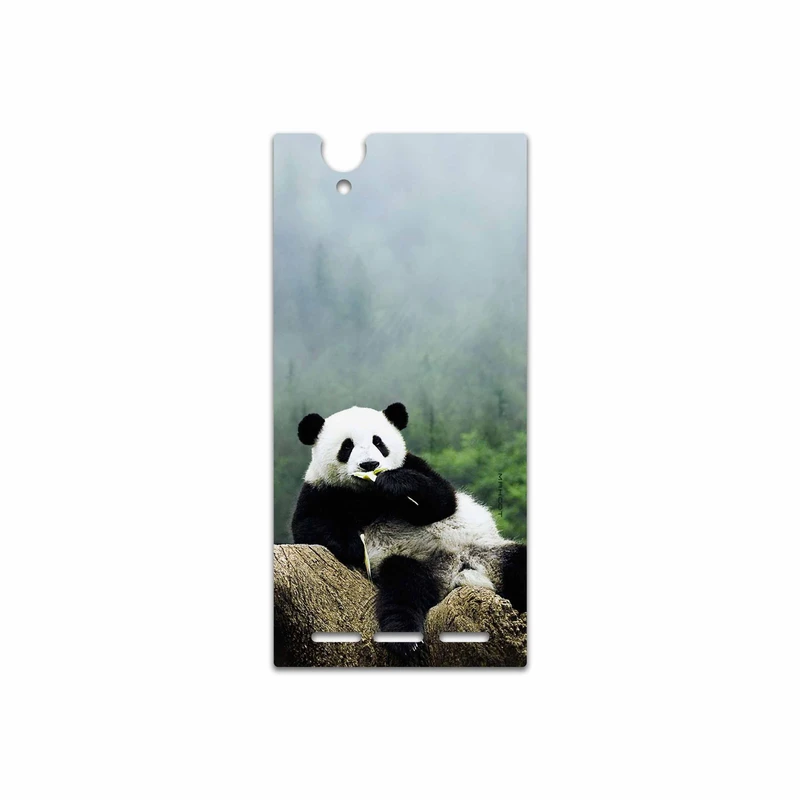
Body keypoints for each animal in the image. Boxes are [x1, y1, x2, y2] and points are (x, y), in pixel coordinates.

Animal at [291, 402, 526, 655]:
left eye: (378, 442)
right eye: (347, 446)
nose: (369, 465)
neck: (368, 494)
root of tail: (457, 571)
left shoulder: (413, 464)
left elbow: (442, 500)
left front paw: (395, 483)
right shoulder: (320, 490)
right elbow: (308, 525)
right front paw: (353, 545)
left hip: (489, 551)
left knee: (518, 563)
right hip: (412, 562)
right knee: (404, 589)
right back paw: (404, 639)